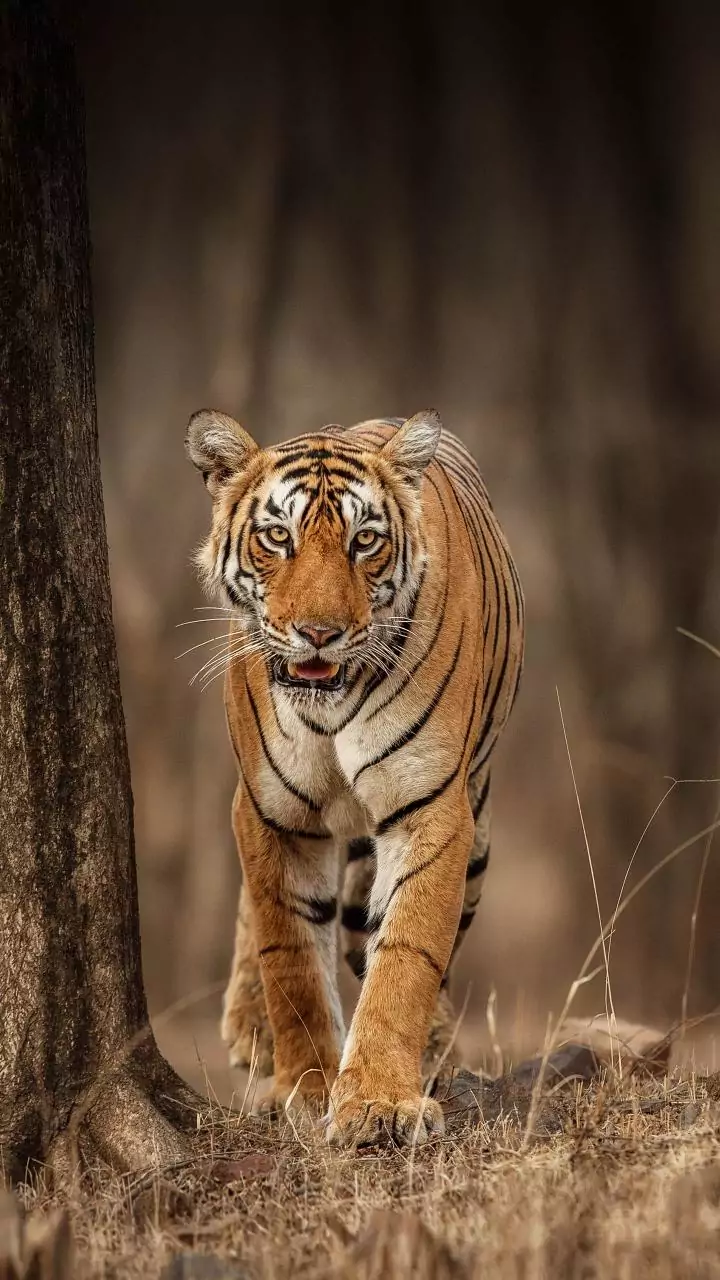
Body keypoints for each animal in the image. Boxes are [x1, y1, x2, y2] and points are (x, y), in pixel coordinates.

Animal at [186, 408, 524, 1147]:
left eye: (364, 540)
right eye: (276, 537)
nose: (319, 634)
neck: (329, 706)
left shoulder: (430, 807)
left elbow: (406, 954)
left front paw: (377, 1101)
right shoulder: (268, 812)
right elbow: (289, 955)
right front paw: (307, 1087)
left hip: (478, 834)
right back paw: (250, 1029)